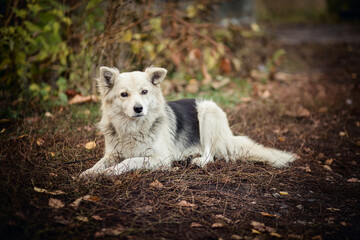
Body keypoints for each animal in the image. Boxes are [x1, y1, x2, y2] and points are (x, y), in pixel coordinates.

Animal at [79, 66, 296, 177]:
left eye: (144, 92)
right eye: (124, 94)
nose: (138, 109)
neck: (133, 129)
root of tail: (229, 136)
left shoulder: (160, 158)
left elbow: (130, 160)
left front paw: (110, 172)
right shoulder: (112, 153)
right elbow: (99, 163)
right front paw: (89, 173)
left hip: (207, 110)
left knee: (210, 154)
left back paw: (197, 159)